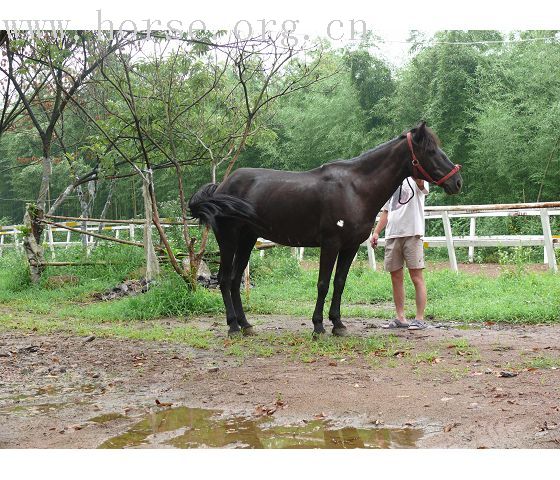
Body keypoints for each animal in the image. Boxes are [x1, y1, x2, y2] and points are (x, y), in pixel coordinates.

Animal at [190, 122, 462, 336]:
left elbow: (339, 282)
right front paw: (318, 326)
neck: (355, 188)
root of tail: (221, 186)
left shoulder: (350, 247)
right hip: (228, 239)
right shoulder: (330, 244)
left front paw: (338, 324)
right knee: (225, 279)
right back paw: (233, 326)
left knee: (236, 280)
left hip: (247, 239)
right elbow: (323, 283)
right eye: (430, 150)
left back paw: (246, 325)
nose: (457, 181)